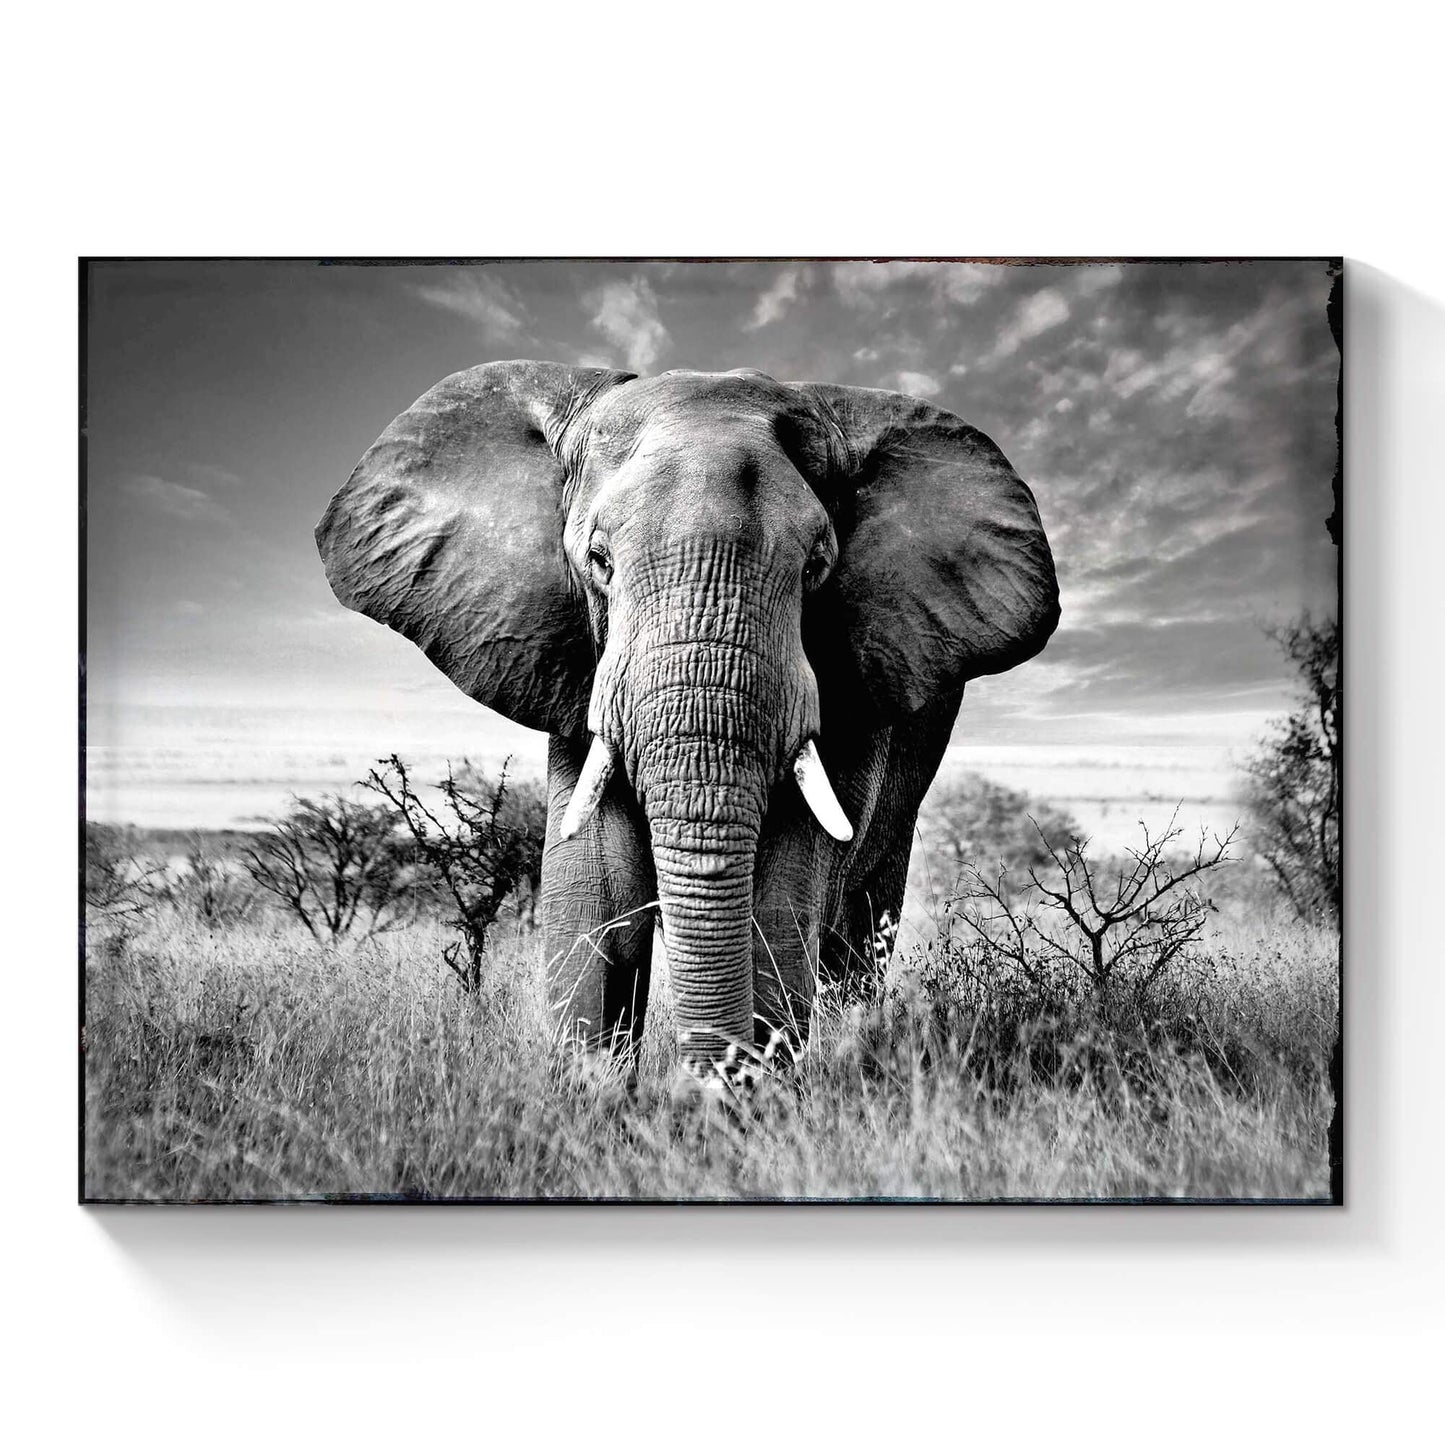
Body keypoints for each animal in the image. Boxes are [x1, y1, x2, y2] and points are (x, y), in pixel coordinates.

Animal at [316, 361, 1058, 1085]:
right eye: (599, 561)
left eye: (816, 567)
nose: (698, 1087)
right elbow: (594, 884)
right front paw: (592, 1096)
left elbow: (783, 891)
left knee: (860, 924)